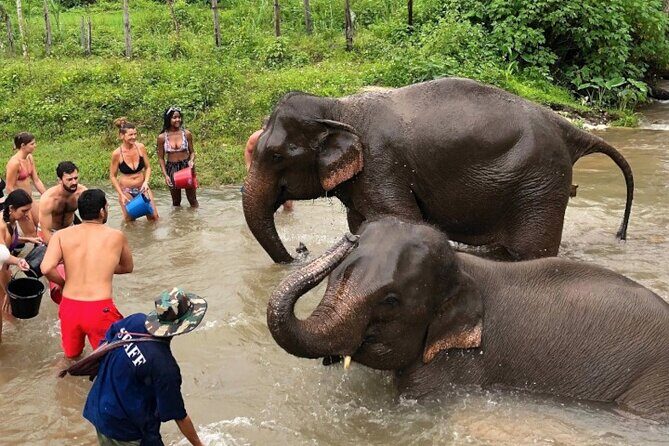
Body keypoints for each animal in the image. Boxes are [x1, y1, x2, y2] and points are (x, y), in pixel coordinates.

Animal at [243, 77, 634, 263]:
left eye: (276, 155)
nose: (298, 252)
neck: (338, 107)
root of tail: (566, 126)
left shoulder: (382, 166)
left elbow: (403, 219)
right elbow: (360, 222)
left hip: (540, 182)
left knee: (528, 253)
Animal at [267, 217, 669, 422]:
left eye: (390, 301)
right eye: (335, 278)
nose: (349, 235)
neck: (464, 267)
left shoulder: (455, 364)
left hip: (653, 387)